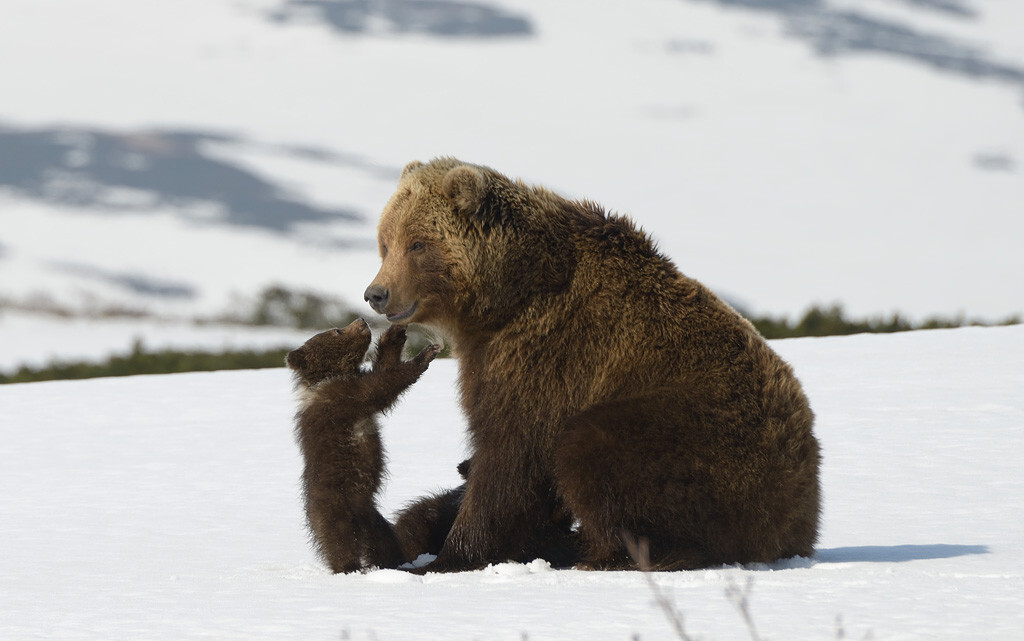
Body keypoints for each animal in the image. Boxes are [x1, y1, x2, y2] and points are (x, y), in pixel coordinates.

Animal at [364, 157, 819, 573]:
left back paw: (607, 555)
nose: (376, 293)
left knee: (592, 449)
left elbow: (510, 454)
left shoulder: (547, 354)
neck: (504, 298)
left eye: (417, 244)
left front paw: (447, 557)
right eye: (385, 242)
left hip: (705, 438)